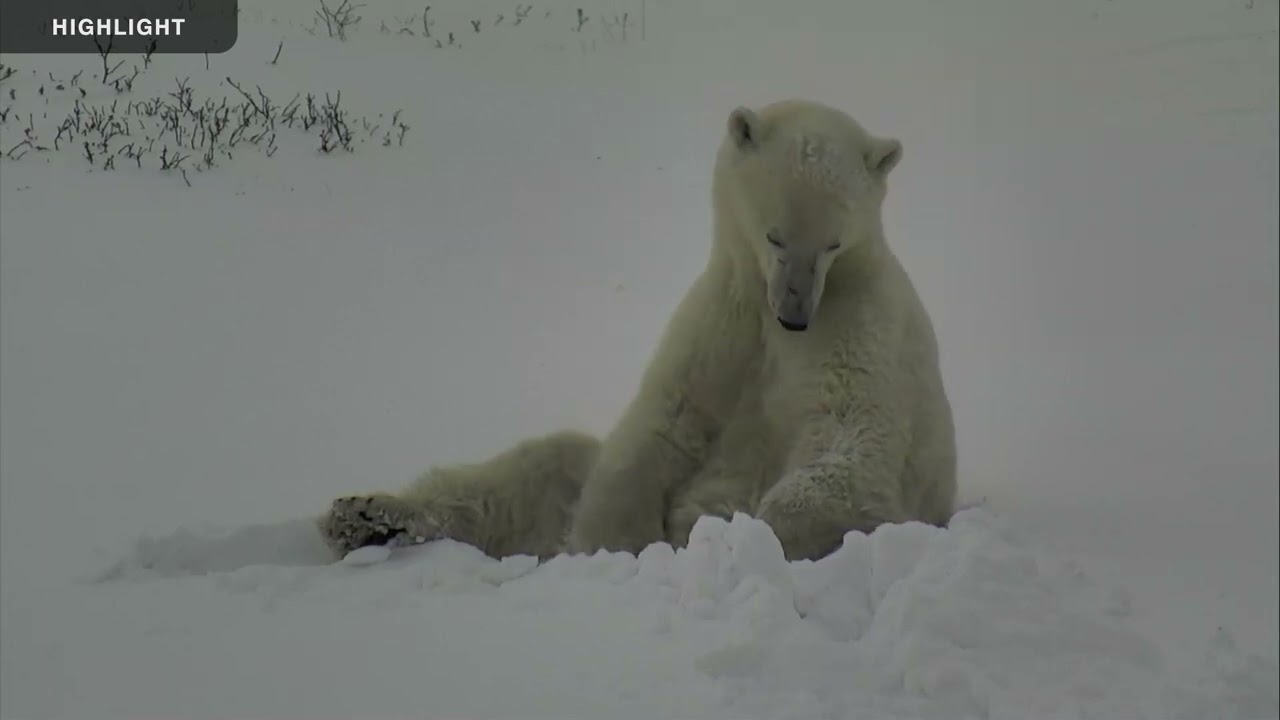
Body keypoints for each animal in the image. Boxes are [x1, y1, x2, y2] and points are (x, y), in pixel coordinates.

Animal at [319, 99, 957, 562]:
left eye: (832, 243)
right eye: (775, 235)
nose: (794, 316)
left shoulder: (859, 325)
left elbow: (851, 444)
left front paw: (743, 531)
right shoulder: (725, 318)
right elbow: (665, 424)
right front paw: (613, 541)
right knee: (533, 469)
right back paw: (365, 516)